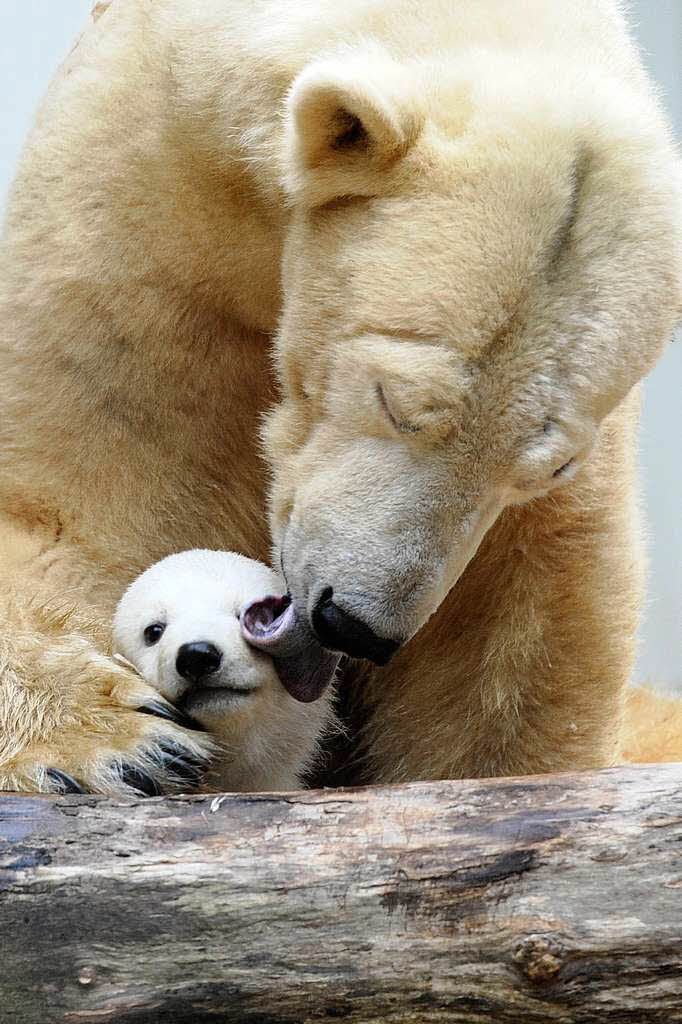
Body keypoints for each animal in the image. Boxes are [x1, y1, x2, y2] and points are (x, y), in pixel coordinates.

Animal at [0, 0, 675, 790]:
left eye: (546, 467)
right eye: (396, 402)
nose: (354, 624)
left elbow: (520, 624)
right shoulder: (146, 214)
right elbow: (76, 497)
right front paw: (117, 742)